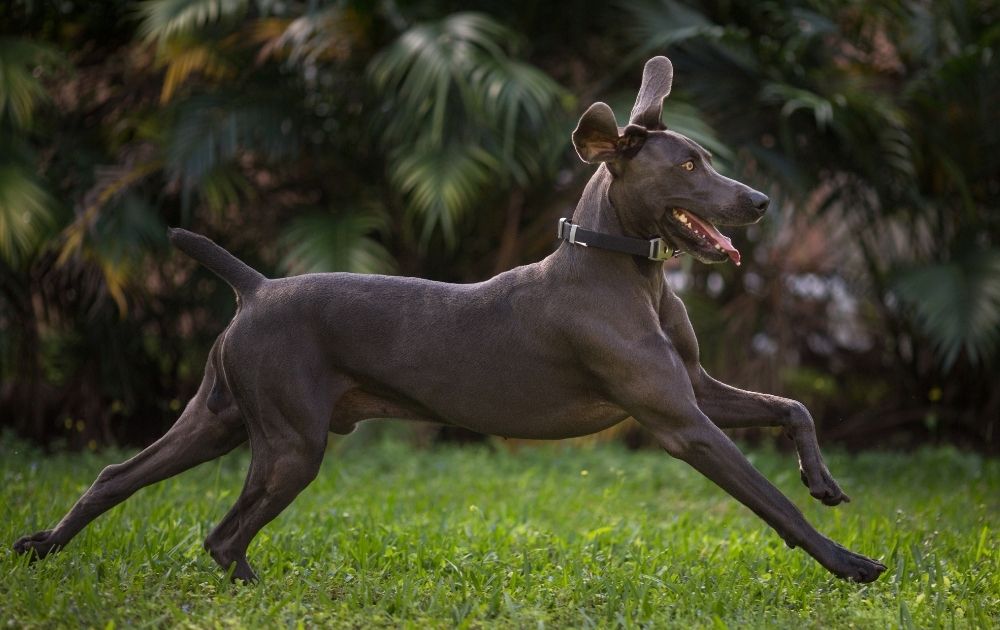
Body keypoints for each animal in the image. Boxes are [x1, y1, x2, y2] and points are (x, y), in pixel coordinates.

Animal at [13, 56, 884, 584]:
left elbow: (793, 406)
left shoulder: (697, 388)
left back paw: (44, 545)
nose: (761, 202)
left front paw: (825, 479)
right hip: (289, 442)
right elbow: (770, 502)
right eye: (691, 165)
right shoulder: (680, 421)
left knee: (117, 476)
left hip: (220, 418)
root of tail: (256, 286)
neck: (624, 270)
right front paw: (849, 562)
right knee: (223, 533)